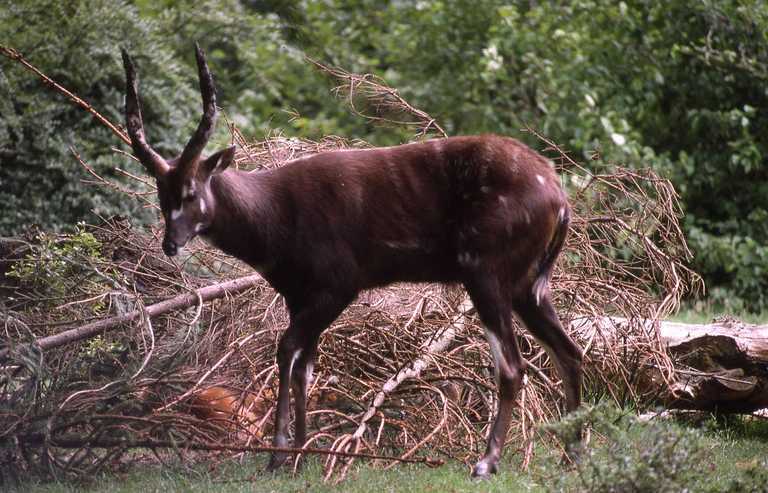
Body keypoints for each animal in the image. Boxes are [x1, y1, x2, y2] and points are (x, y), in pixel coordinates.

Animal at [120, 46, 584, 476]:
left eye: (191, 191)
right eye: (161, 194)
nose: (170, 243)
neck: (275, 215)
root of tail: (559, 198)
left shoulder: (339, 284)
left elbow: (285, 349)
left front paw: (279, 454)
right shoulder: (298, 295)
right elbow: (305, 365)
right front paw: (302, 452)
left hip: (485, 272)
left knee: (513, 365)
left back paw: (486, 462)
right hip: (527, 285)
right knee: (570, 352)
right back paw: (571, 456)